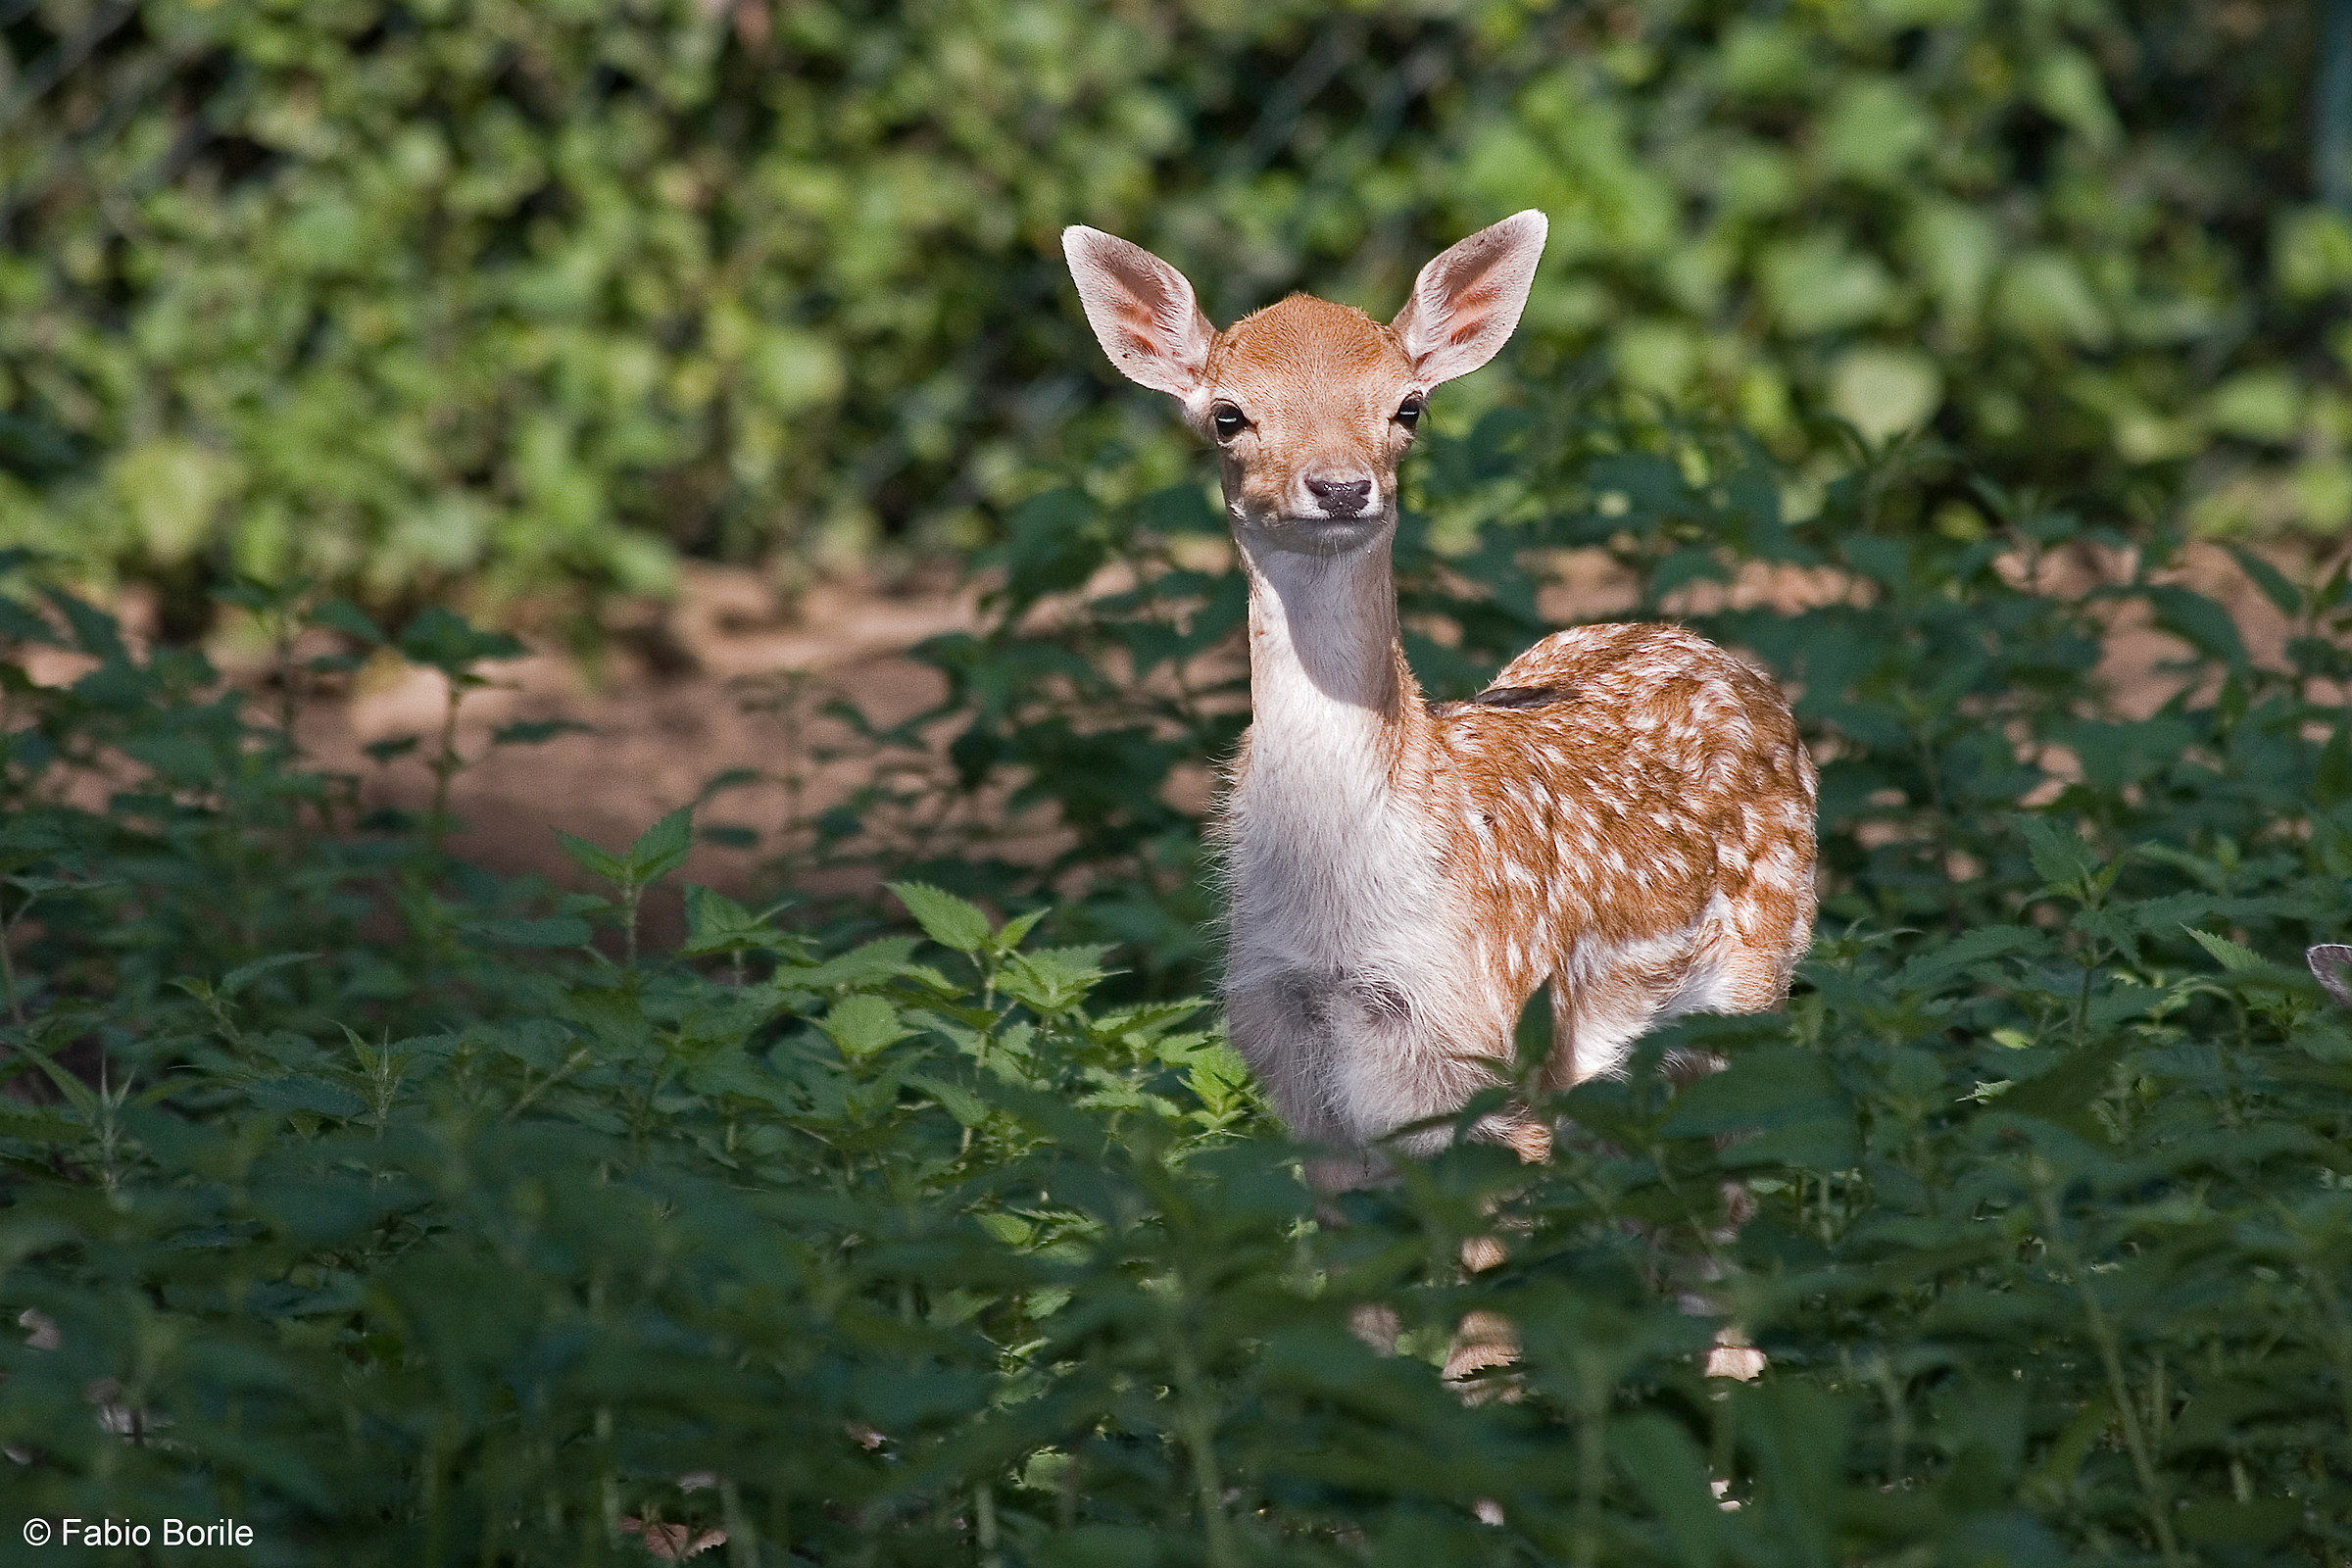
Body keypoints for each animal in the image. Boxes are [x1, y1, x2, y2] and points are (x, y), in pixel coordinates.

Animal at [1062, 211, 1819, 1385]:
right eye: (1228, 415)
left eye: (1407, 406)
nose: (1338, 485)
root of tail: (1718, 652)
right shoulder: (1305, 1087)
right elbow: (1365, 1341)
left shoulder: (1494, 1063)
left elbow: (1484, 1352)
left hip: (1750, 989)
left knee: (1723, 1232)